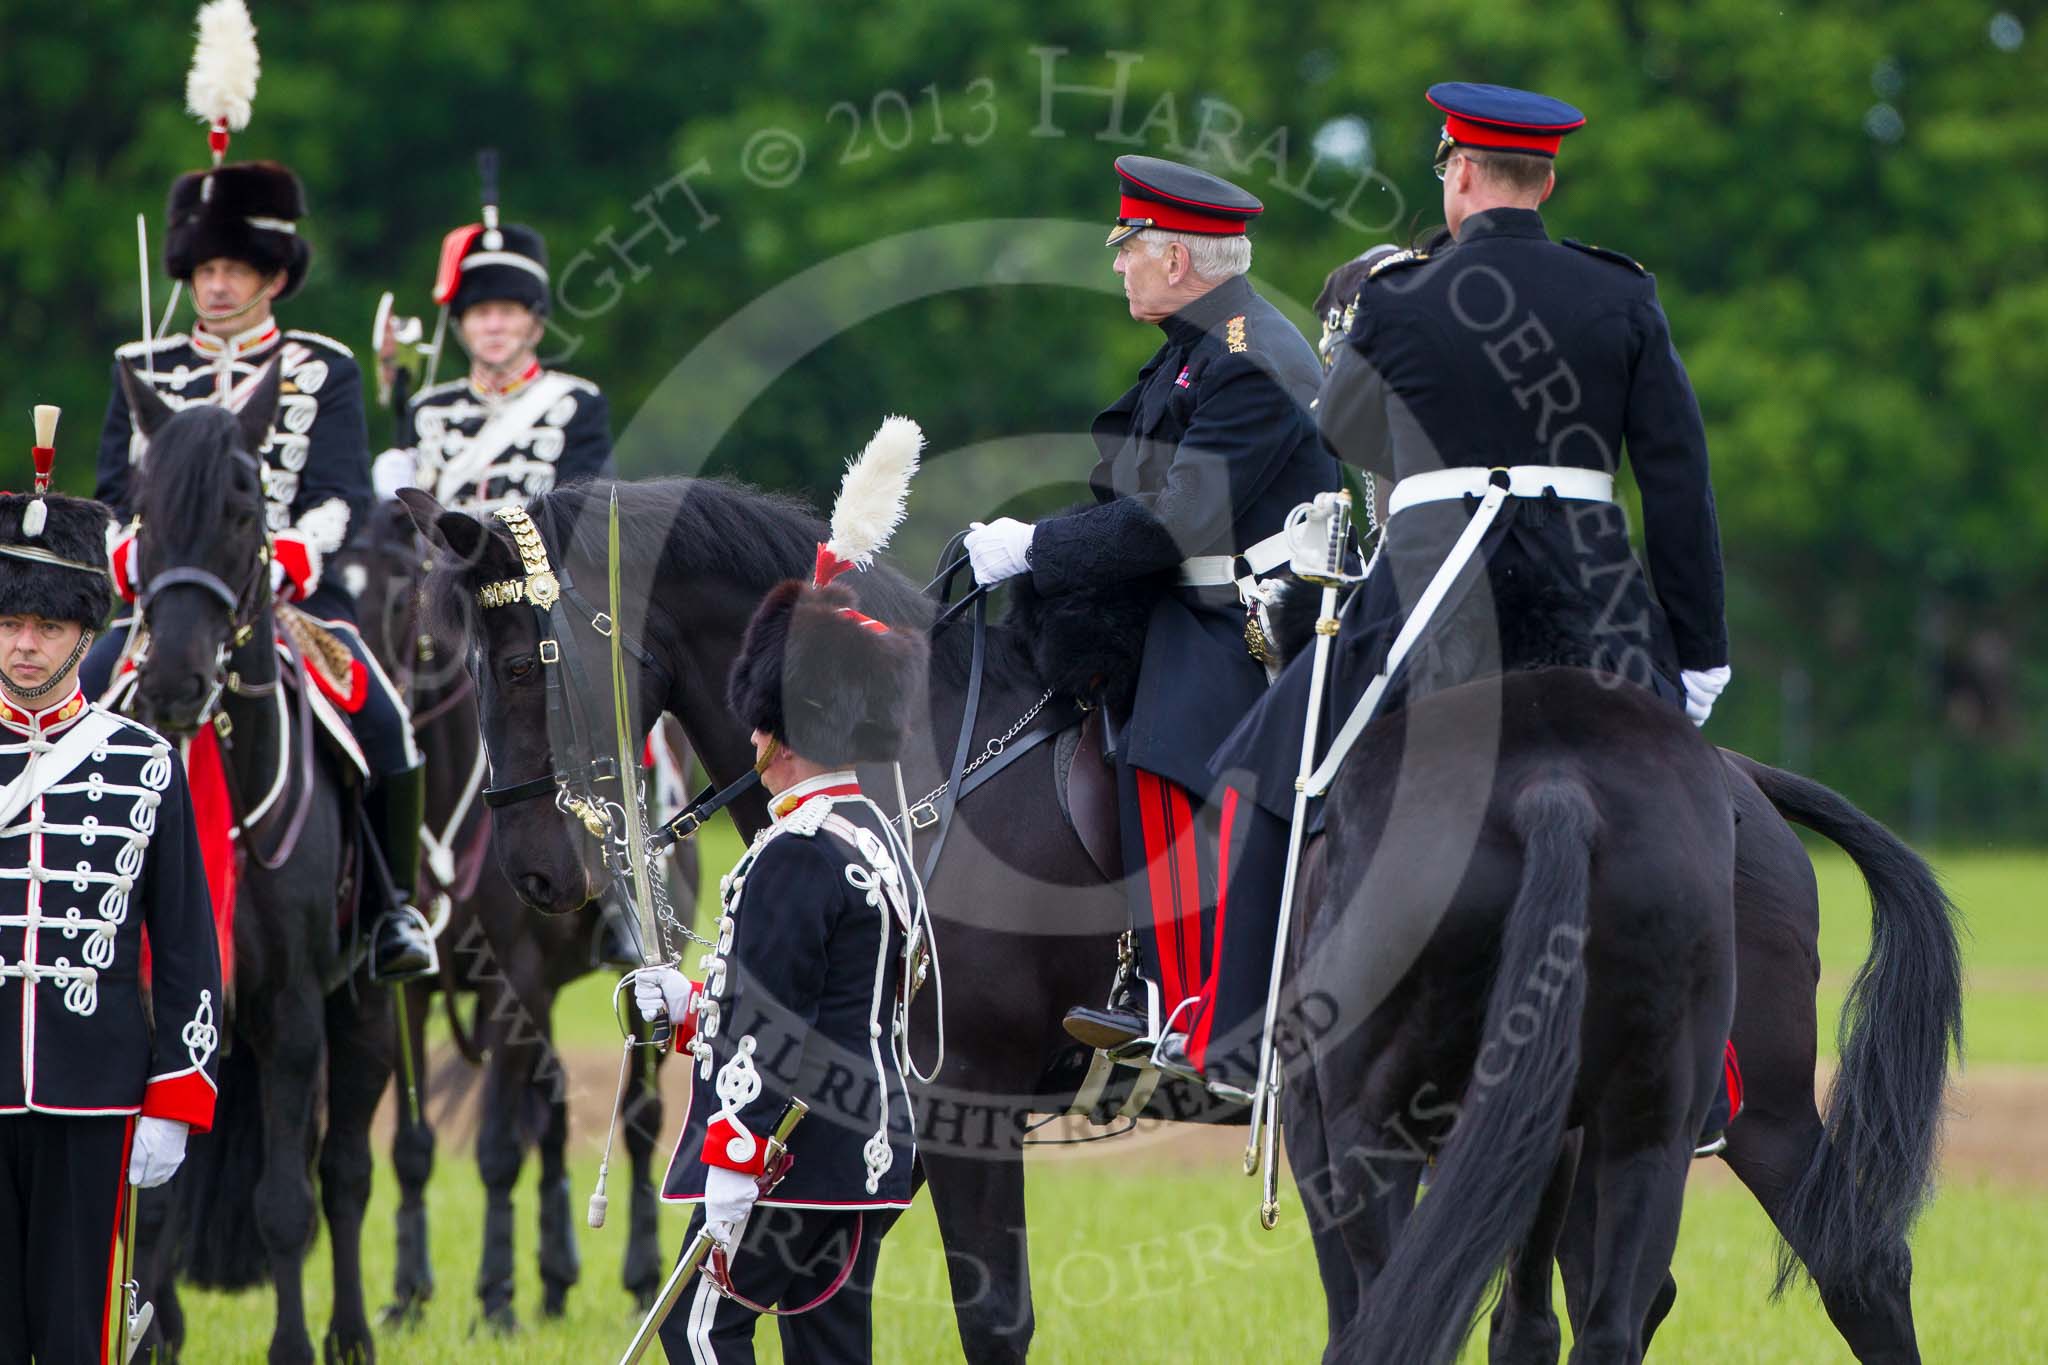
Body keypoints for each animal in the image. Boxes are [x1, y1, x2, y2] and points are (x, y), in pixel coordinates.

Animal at [119, 366, 395, 1365]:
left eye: (244, 512)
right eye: (143, 511)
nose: (172, 683)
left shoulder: (293, 1010)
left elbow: (287, 1200)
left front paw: (295, 1346)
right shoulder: (165, 1000)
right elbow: (157, 1198)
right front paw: (147, 1334)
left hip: (368, 1010)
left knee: (345, 1170)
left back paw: (351, 1331)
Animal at [335, 499, 684, 1326]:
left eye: (399, 603)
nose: (363, 711)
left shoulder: (510, 980)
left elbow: (497, 1145)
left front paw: (494, 1294)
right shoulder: (415, 989)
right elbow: (414, 1145)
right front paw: (409, 1292)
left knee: (640, 1120)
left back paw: (639, 1277)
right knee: (553, 1112)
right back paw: (556, 1276)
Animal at [399, 474, 1949, 1358]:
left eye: (525, 651)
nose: (532, 868)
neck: (920, 753)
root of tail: (1727, 782)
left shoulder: (956, 1095)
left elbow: (988, 1314)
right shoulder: (879, 1096)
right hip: (1639, 1111)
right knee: (1790, 1276)